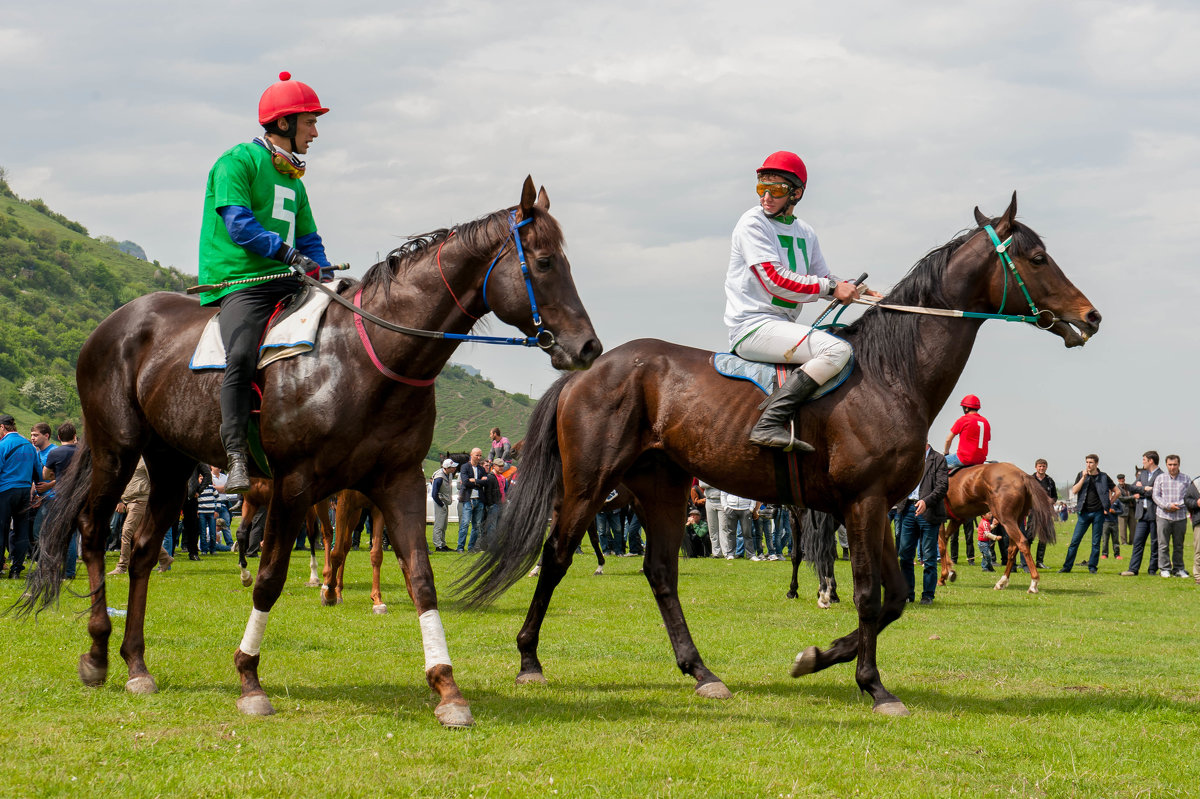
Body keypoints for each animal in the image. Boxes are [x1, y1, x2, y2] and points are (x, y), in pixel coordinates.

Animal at [25, 177, 609, 724]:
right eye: (545, 261)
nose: (588, 347)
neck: (361, 359)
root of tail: (114, 324)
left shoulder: (397, 483)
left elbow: (421, 581)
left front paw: (446, 688)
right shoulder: (294, 486)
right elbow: (269, 579)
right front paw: (249, 679)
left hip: (170, 463)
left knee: (145, 550)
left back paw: (136, 665)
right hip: (118, 450)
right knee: (92, 531)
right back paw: (98, 653)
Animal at [936, 460, 1060, 590]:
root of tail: (1021, 474)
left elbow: (941, 545)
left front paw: (943, 576)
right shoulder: (957, 519)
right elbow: (944, 540)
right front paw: (949, 572)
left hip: (1006, 520)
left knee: (1022, 542)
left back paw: (1033, 582)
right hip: (1017, 519)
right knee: (1013, 548)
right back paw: (1002, 581)